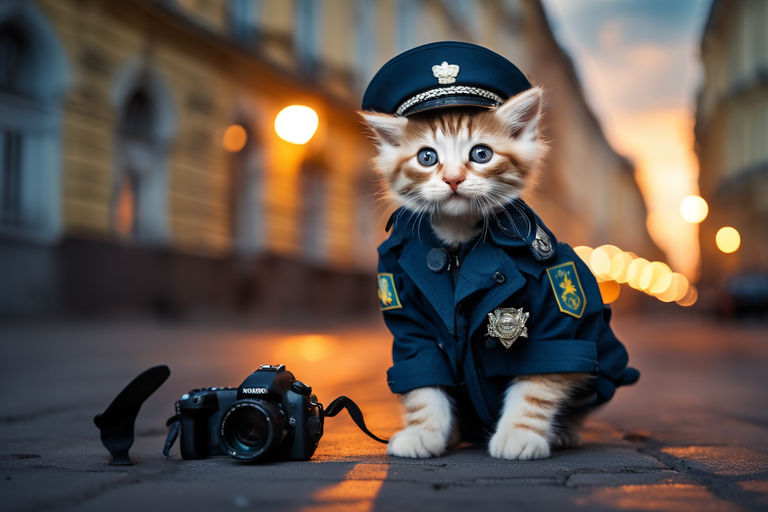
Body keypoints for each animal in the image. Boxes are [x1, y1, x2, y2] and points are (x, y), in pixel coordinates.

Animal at [364, 87, 592, 460]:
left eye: (481, 154)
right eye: (427, 157)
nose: (453, 179)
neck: (459, 245)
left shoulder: (555, 311)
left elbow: (540, 379)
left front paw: (519, 433)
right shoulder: (407, 313)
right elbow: (422, 373)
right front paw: (423, 431)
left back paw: (563, 431)